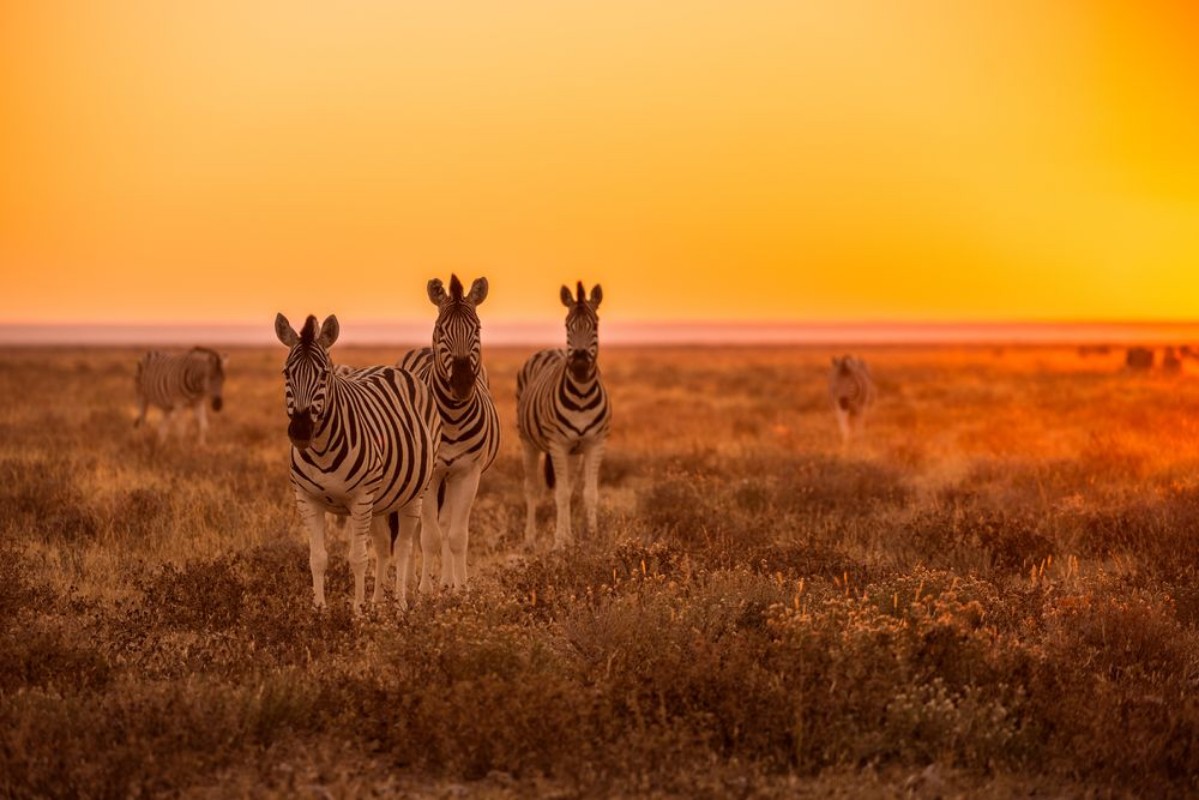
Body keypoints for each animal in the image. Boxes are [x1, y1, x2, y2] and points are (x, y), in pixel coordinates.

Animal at [275, 313, 441, 610]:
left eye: (324, 374)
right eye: (286, 373)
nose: (301, 431)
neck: (321, 450)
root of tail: (392, 368)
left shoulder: (360, 498)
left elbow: (358, 558)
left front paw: (357, 613)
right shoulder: (306, 498)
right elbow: (317, 558)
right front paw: (319, 611)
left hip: (414, 493)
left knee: (403, 547)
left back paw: (400, 605)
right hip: (380, 499)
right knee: (383, 544)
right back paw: (378, 604)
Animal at [397, 274, 500, 592]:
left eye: (477, 329)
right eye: (441, 329)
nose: (463, 383)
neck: (453, 417)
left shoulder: (468, 473)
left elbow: (456, 535)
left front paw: (460, 589)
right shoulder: (431, 476)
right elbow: (428, 536)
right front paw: (424, 591)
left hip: (451, 477)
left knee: (445, 524)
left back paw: (446, 582)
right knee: (416, 528)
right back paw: (411, 582)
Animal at [517, 282, 611, 549]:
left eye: (595, 325)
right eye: (568, 325)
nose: (579, 366)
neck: (581, 395)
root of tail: (550, 349)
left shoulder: (594, 443)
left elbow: (588, 493)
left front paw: (592, 537)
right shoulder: (557, 444)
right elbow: (558, 494)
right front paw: (558, 543)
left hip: (574, 452)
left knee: (568, 488)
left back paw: (569, 536)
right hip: (528, 442)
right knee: (532, 488)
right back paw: (530, 539)